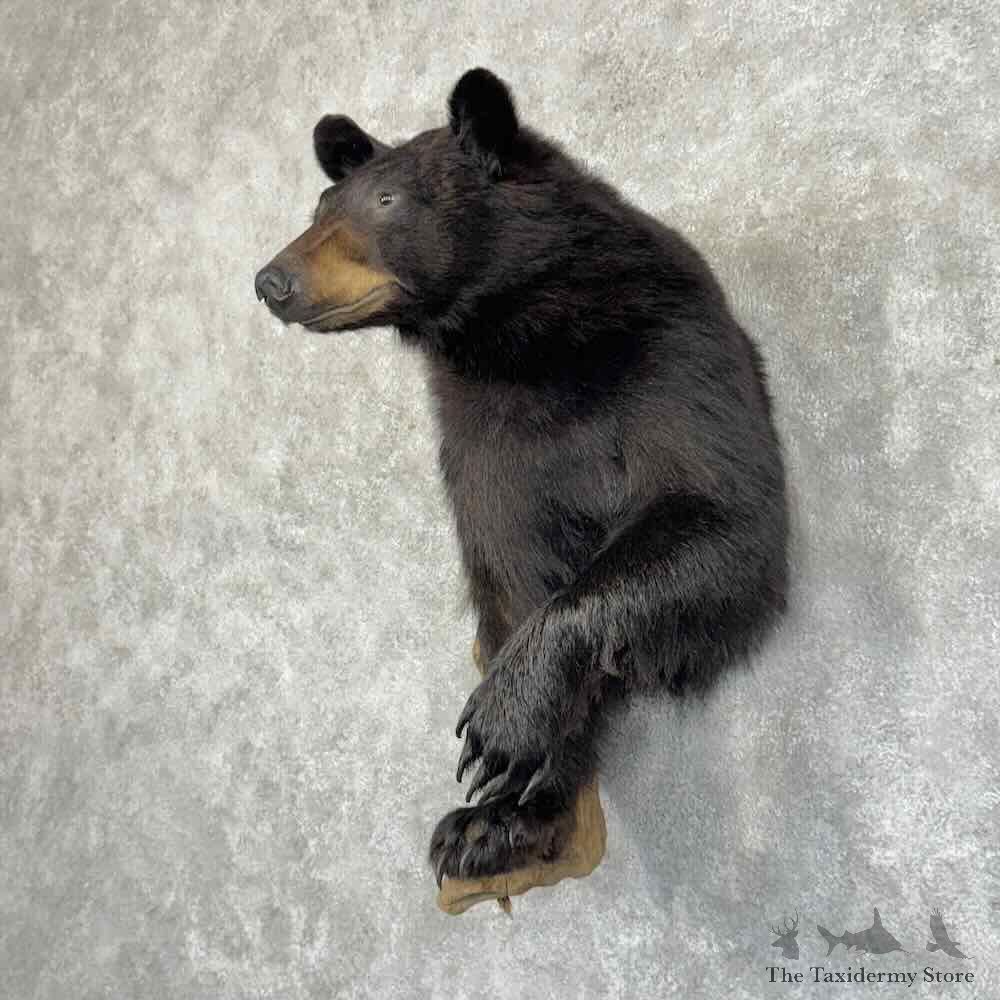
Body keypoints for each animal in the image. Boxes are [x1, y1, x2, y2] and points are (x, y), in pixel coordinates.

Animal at [255, 68, 789, 887]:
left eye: (388, 200)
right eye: (321, 206)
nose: (272, 281)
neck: (522, 341)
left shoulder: (669, 355)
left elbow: (717, 512)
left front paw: (502, 727)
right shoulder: (482, 442)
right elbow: (513, 570)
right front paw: (494, 819)